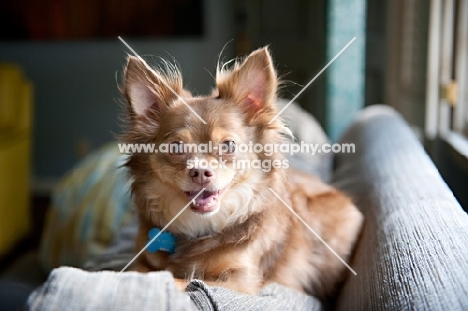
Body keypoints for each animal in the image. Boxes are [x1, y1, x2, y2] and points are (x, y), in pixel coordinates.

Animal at [119, 47, 362, 298]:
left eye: (228, 145)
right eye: (176, 148)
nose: (201, 172)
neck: (200, 226)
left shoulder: (240, 281)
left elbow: (179, 280)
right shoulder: (141, 260)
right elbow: (141, 271)